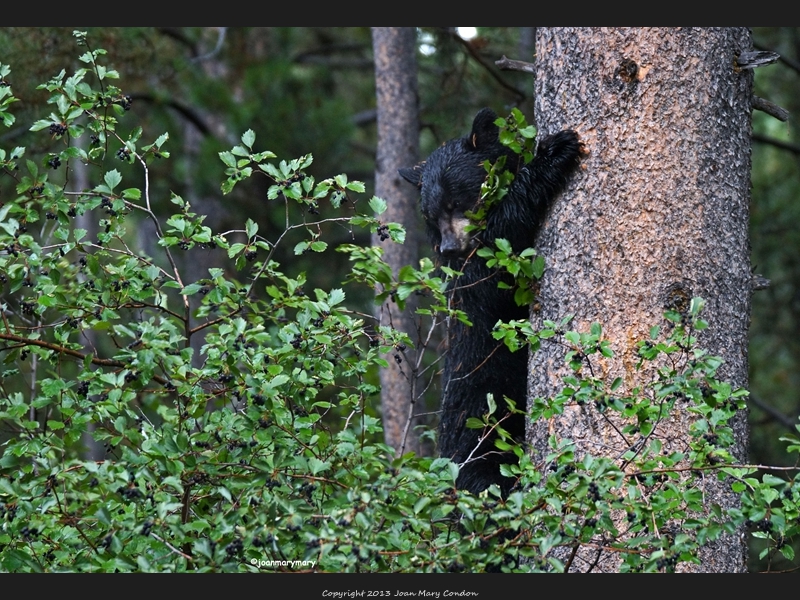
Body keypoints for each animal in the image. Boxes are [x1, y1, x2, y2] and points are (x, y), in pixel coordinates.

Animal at [400, 109, 580, 496]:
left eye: (454, 201)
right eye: (430, 214)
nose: (450, 247)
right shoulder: (474, 275)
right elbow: (503, 249)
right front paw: (556, 151)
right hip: (484, 440)